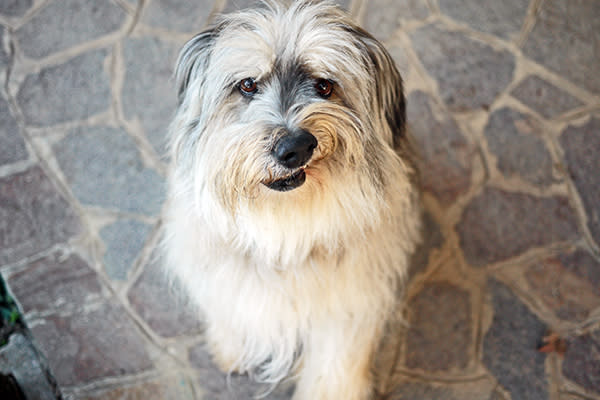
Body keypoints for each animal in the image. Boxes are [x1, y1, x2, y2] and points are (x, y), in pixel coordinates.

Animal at [162, 1, 420, 398]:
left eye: (325, 85)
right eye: (247, 85)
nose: (294, 148)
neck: (285, 217)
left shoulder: (351, 299)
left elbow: (335, 360)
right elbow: (233, 304)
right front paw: (233, 346)